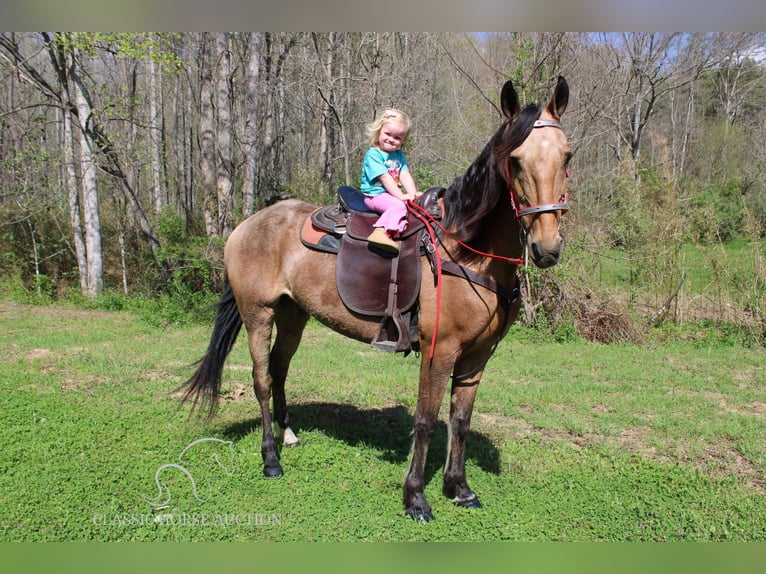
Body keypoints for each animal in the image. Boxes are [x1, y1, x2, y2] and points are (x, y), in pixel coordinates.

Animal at [183, 75, 572, 520]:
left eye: (567, 156)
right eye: (516, 160)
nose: (547, 248)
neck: (466, 250)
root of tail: (245, 226)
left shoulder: (476, 357)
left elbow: (461, 420)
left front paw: (459, 488)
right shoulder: (440, 351)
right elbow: (426, 419)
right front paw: (416, 497)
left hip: (293, 315)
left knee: (279, 371)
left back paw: (289, 435)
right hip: (257, 314)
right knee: (262, 379)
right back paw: (270, 459)